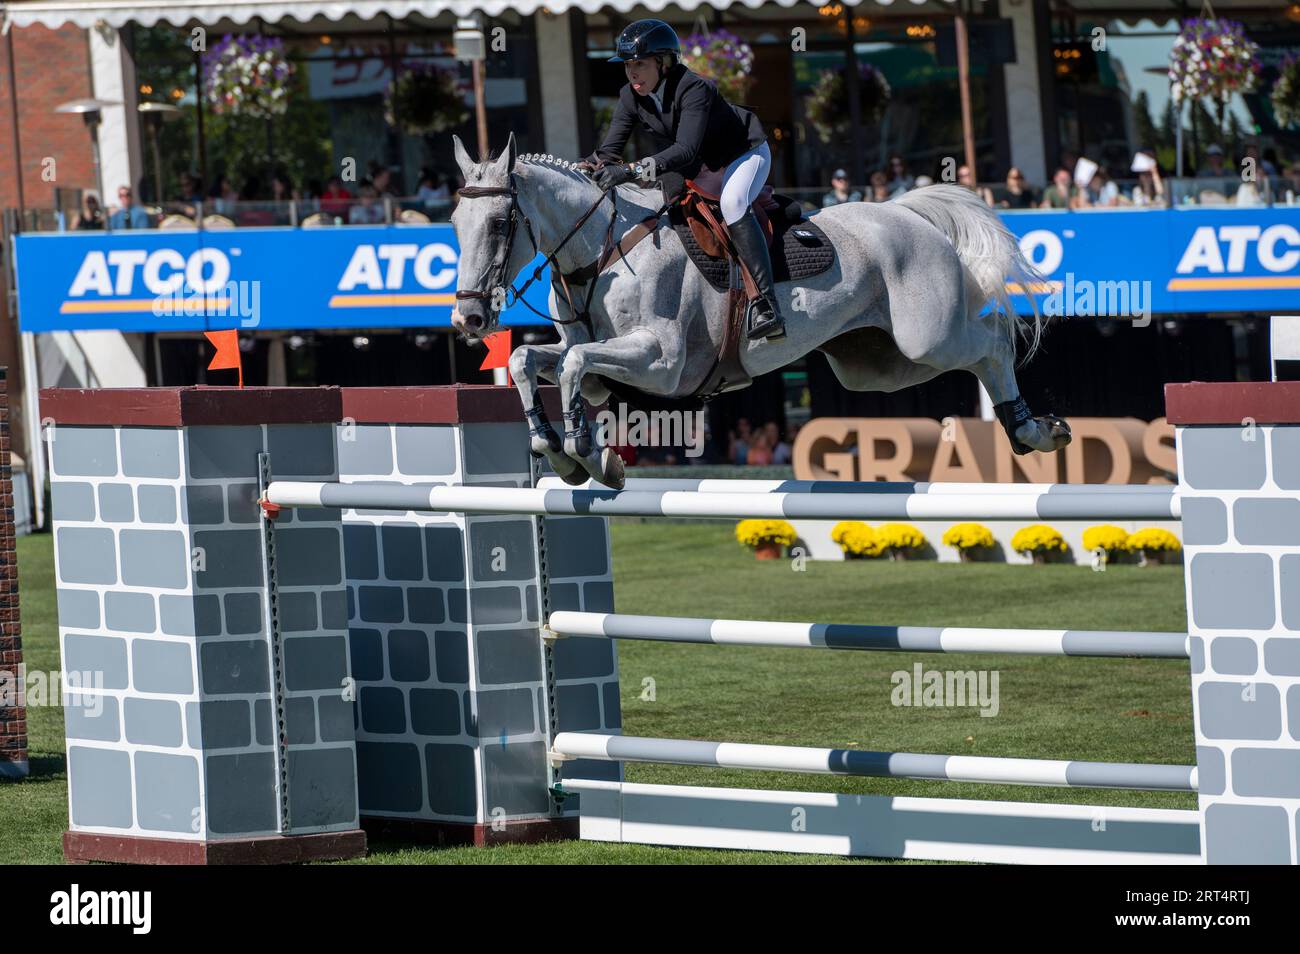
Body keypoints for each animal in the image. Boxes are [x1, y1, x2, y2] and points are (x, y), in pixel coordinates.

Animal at [447, 134, 1066, 486]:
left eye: (500, 224)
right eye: (454, 222)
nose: (469, 321)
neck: (603, 247)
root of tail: (906, 212)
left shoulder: (662, 363)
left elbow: (575, 368)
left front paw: (585, 453)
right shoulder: (589, 348)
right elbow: (530, 361)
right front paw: (553, 446)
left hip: (928, 336)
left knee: (992, 344)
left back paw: (1034, 430)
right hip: (877, 365)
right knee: (964, 355)